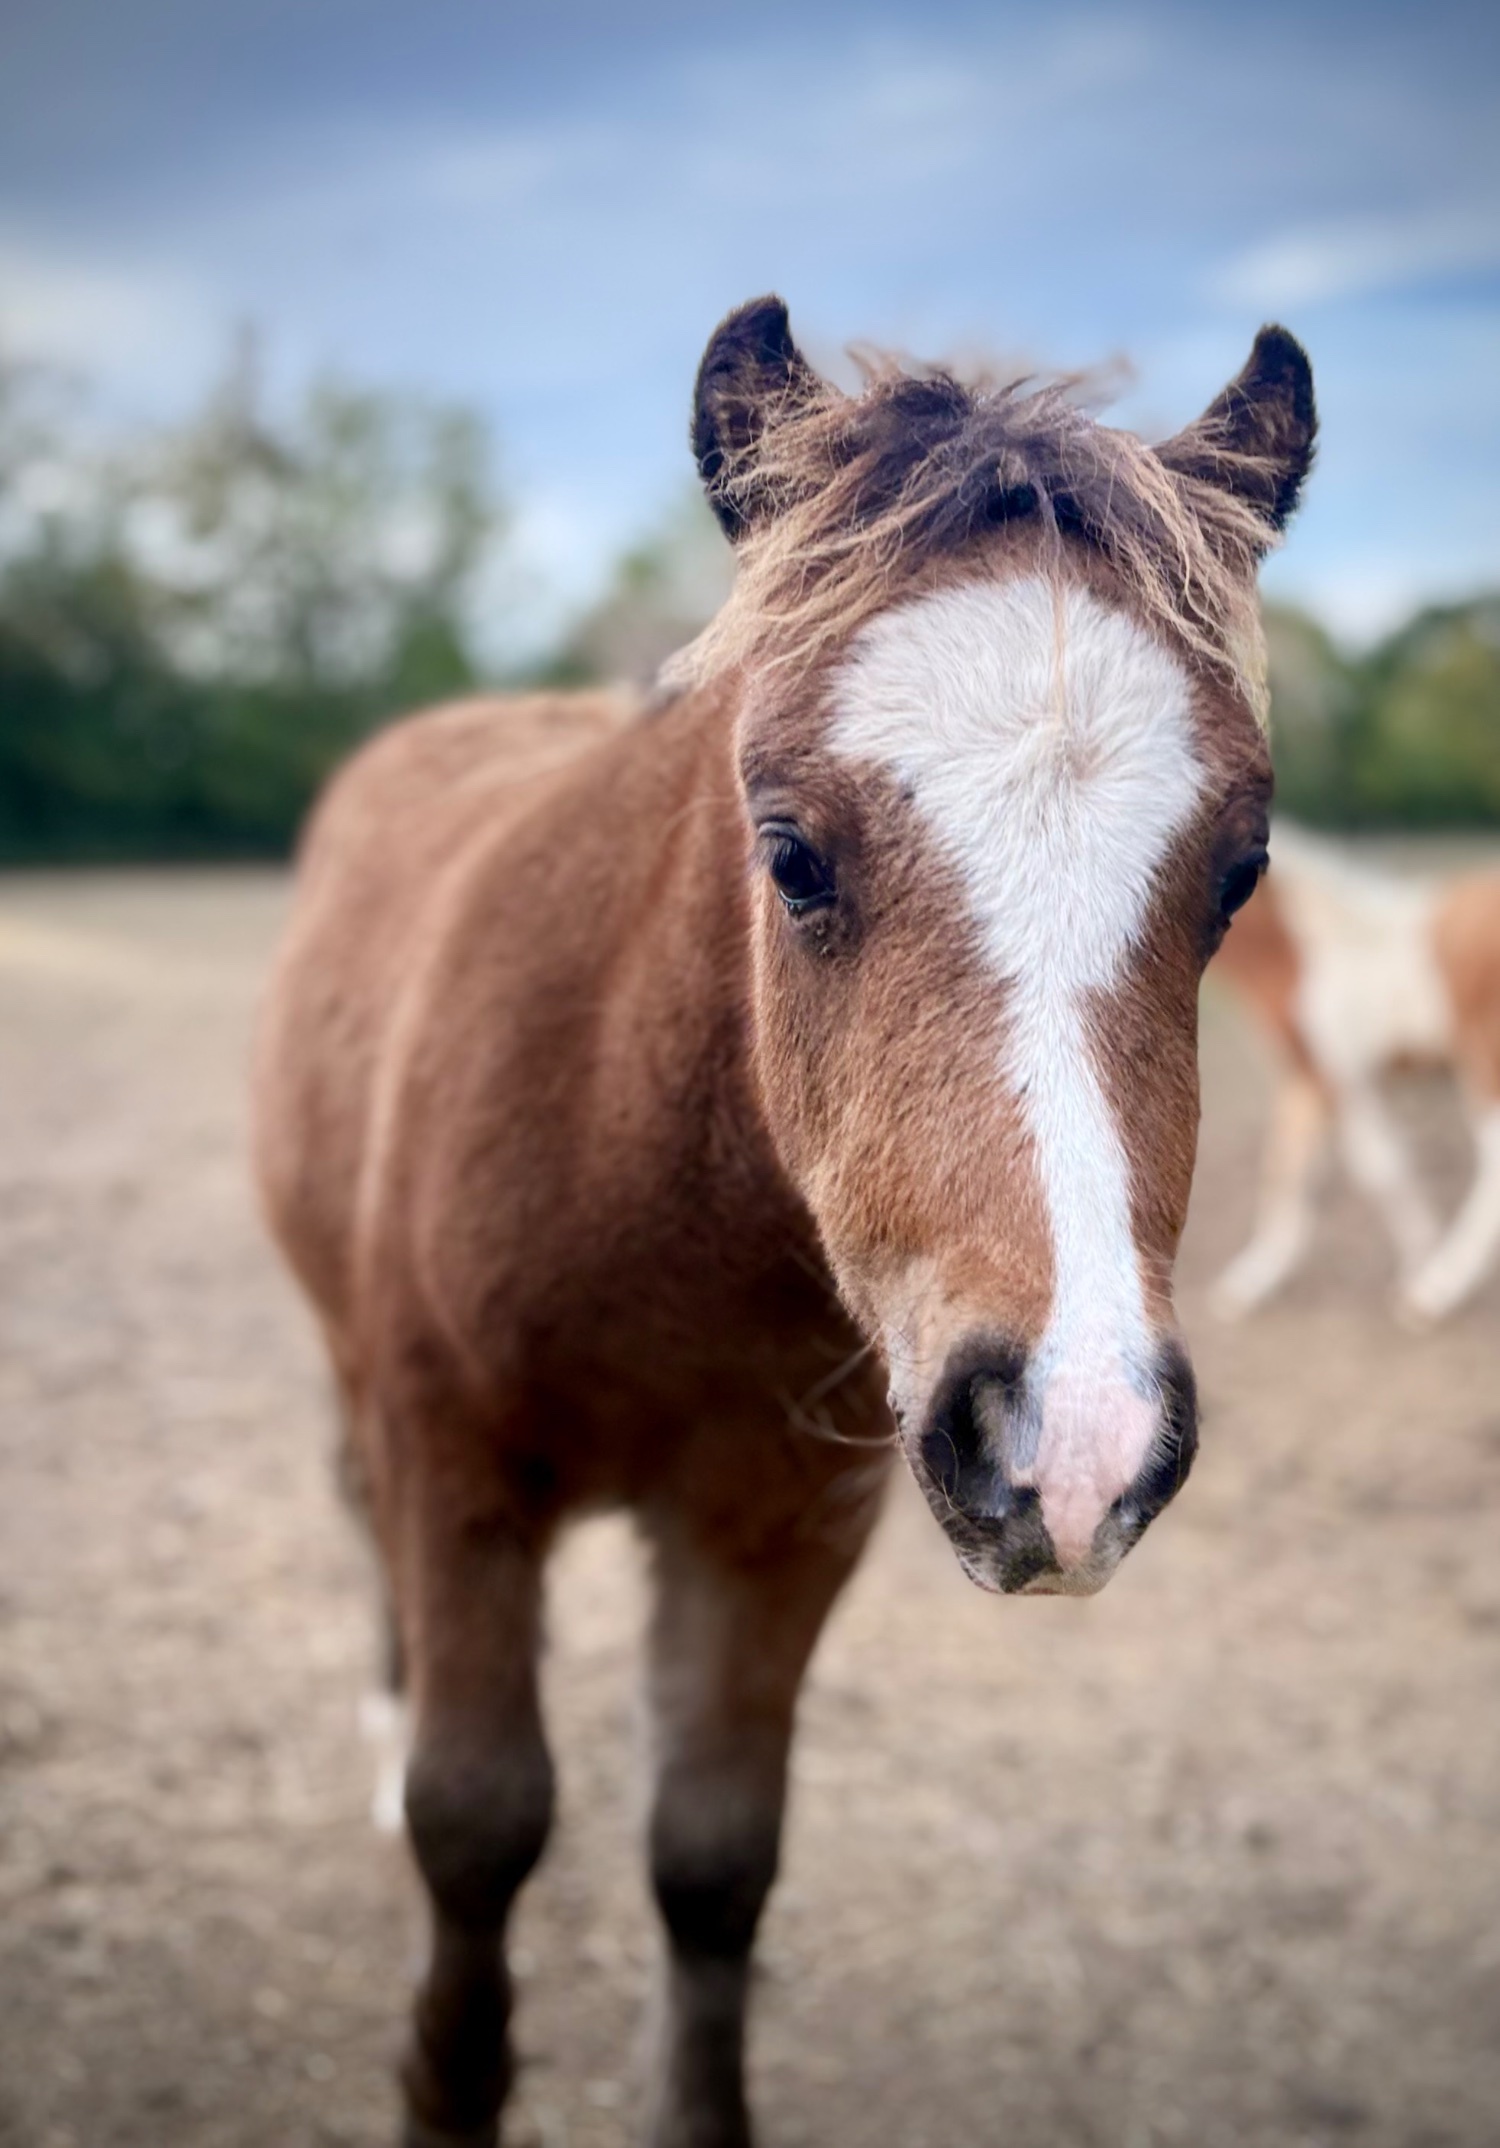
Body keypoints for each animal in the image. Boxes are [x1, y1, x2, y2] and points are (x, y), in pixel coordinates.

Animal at [252, 295, 1315, 2148]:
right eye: (794, 854)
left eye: (1237, 873)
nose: (1078, 1444)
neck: (639, 1189)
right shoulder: (455, 1463)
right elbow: (477, 1820)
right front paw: (444, 2076)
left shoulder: (781, 1525)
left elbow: (713, 1860)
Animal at [1209, 823, 1500, 1324]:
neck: (1307, 952)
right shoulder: (1308, 1077)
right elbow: (1285, 1165)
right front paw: (1252, 1281)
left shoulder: (1345, 1076)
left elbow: (1380, 1168)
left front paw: (1420, 1256)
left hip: (1484, 1061)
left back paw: (1435, 1289)